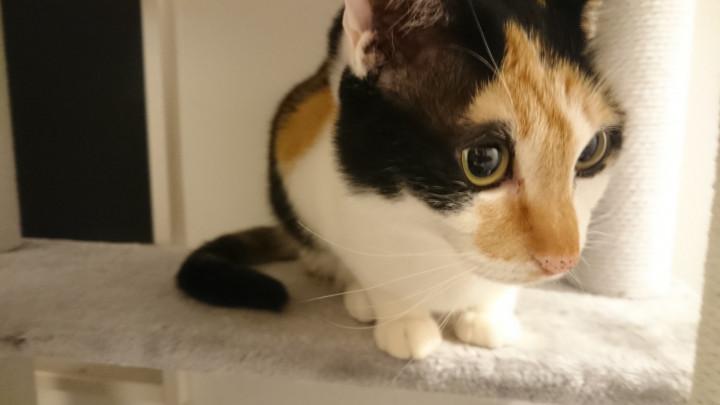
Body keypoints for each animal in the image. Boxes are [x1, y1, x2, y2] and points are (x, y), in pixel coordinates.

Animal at [177, 0, 623, 360]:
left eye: (591, 151)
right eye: (483, 161)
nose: (563, 259)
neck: (436, 236)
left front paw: (488, 316)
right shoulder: (325, 190)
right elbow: (380, 275)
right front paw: (403, 322)